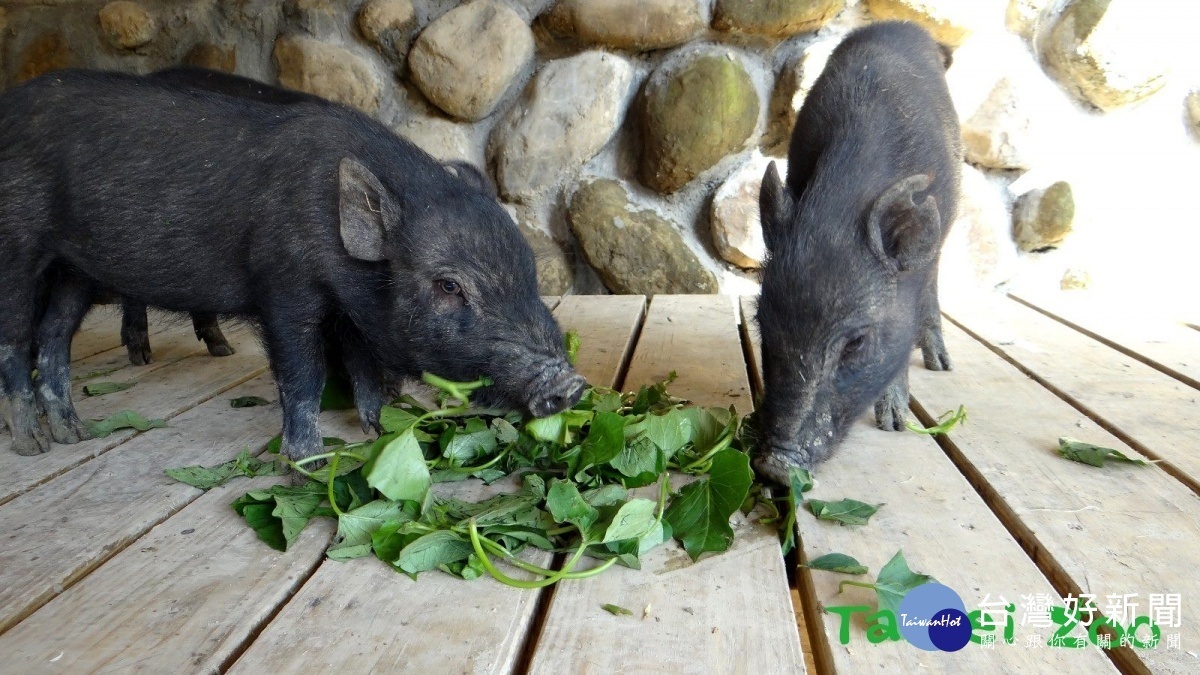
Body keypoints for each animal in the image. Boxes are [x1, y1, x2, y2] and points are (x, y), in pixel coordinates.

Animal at [0, 69, 583, 456]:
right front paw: (310, 460)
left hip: (77, 267)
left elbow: (364, 369)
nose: (570, 384)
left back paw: (72, 434)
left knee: (54, 336)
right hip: (17, 243)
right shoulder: (284, 289)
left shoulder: (350, 308)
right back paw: (33, 446)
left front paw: (383, 427)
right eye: (448, 286)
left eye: (530, 270)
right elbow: (303, 375)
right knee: (17, 337)